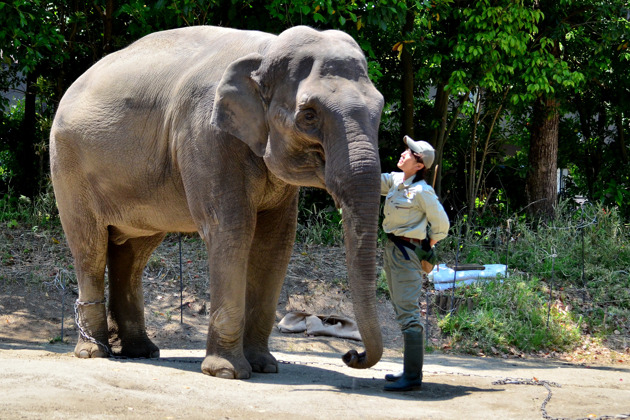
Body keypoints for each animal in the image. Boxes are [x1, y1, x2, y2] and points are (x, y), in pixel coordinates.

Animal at [49, 26, 386, 380]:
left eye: (379, 110)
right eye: (308, 115)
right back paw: (93, 352)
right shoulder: (206, 137)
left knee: (133, 252)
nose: (351, 354)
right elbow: (232, 230)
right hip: (69, 168)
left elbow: (276, 243)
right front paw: (227, 372)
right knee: (89, 247)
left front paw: (265, 366)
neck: (264, 52)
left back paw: (139, 351)